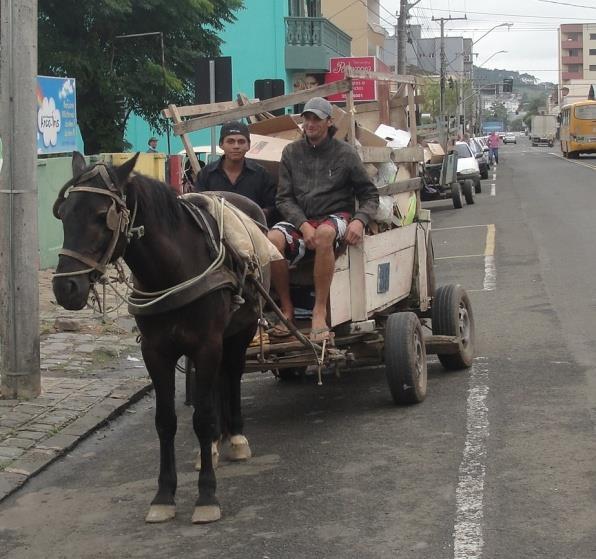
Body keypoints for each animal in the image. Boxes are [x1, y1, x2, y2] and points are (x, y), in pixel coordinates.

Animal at [51, 151, 270, 524]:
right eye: (64, 214)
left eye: (102, 216)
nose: (65, 287)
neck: (173, 267)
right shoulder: (156, 352)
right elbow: (165, 421)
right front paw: (164, 495)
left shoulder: (206, 344)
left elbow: (201, 417)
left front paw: (206, 495)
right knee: (218, 383)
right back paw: (216, 442)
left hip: (240, 330)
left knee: (233, 375)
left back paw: (236, 437)